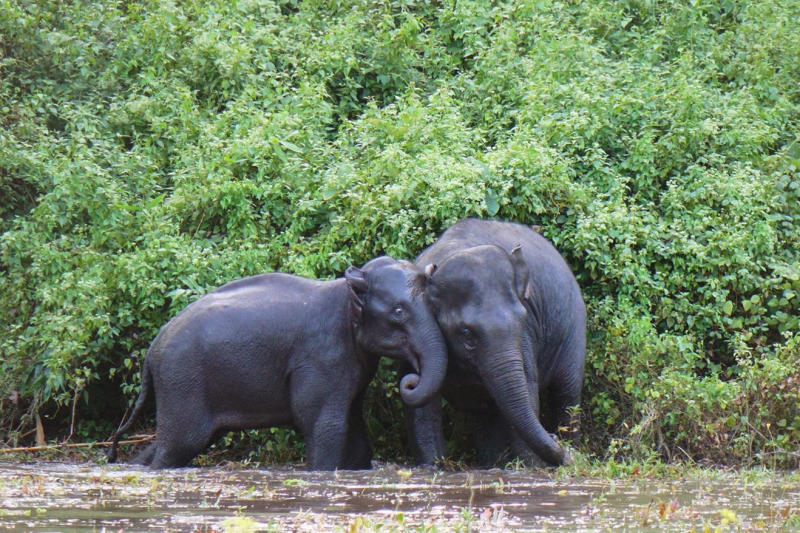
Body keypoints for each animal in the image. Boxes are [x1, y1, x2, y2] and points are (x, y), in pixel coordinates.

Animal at [107, 256, 447, 470]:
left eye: (433, 305)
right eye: (398, 312)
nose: (409, 380)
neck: (348, 290)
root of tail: (153, 348)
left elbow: (354, 427)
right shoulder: (321, 357)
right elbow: (322, 422)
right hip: (182, 380)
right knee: (181, 443)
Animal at [405, 219, 586, 467]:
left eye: (522, 319)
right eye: (466, 332)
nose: (556, 440)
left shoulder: (525, 335)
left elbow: (528, 387)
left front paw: (530, 467)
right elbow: (422, 404)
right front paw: (432, 466)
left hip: (574, 327)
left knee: (567, 391)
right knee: (485, 415)